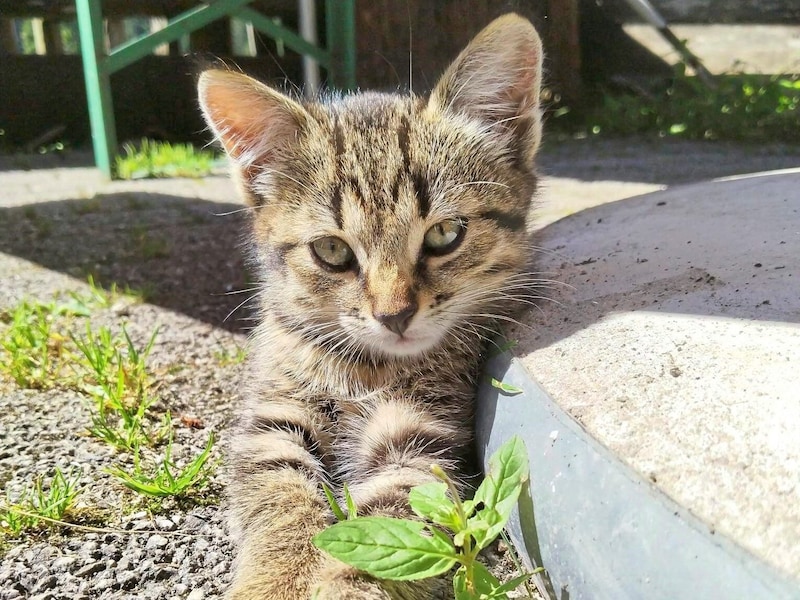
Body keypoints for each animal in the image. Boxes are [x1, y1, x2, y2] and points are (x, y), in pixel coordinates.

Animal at [198, 14, 544, 600]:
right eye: (331, 251)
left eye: (445, 234)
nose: (394, 315)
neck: (365, 364)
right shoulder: (273, 419)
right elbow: (280, 501)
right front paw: (275, 578)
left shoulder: (419, 436)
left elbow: (385, 522)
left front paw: (338, 583)